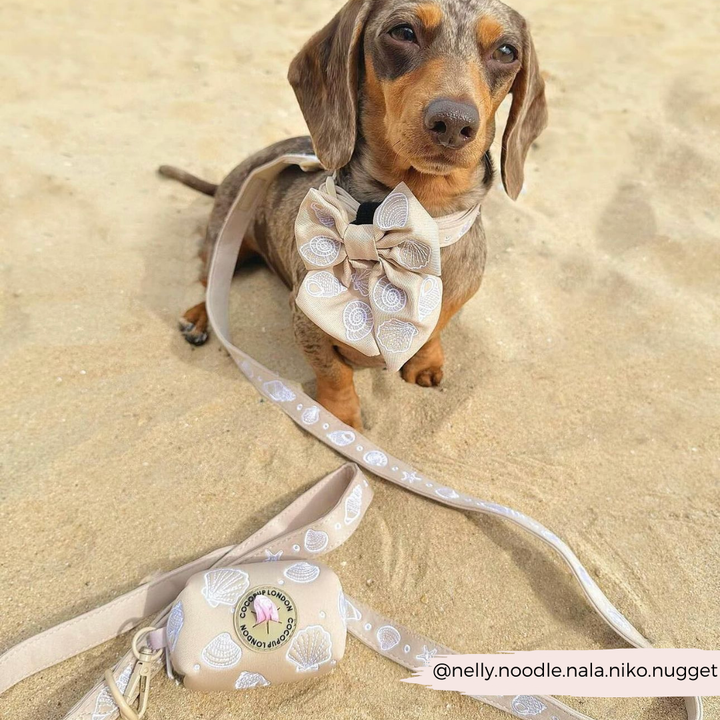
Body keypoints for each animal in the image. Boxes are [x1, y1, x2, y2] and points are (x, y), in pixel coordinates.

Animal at [162, 0, 544, 428]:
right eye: (403, 32)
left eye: (507, 52)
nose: (453, 123)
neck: (415, 219)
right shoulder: (306, 319)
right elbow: (334, 371)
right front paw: (341, 418)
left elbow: (434, 330)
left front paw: (425, 361)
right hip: (224, 239)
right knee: (209, 281)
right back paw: (198, 317)